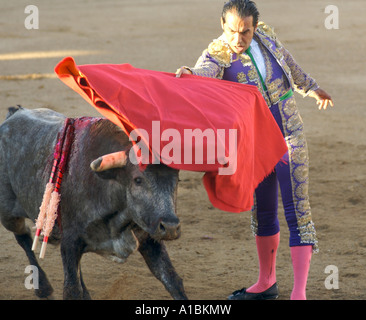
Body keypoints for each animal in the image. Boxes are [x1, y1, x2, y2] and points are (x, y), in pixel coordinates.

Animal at [0, 107, 187, 300]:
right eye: (137, 180)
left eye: (176, 179)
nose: (170, 227)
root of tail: (14, 114)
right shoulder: (70, 242)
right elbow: (71, 290)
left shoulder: (149, 237)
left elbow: (171, 279)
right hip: (8, 214)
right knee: (23, 236)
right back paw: (43, 288)